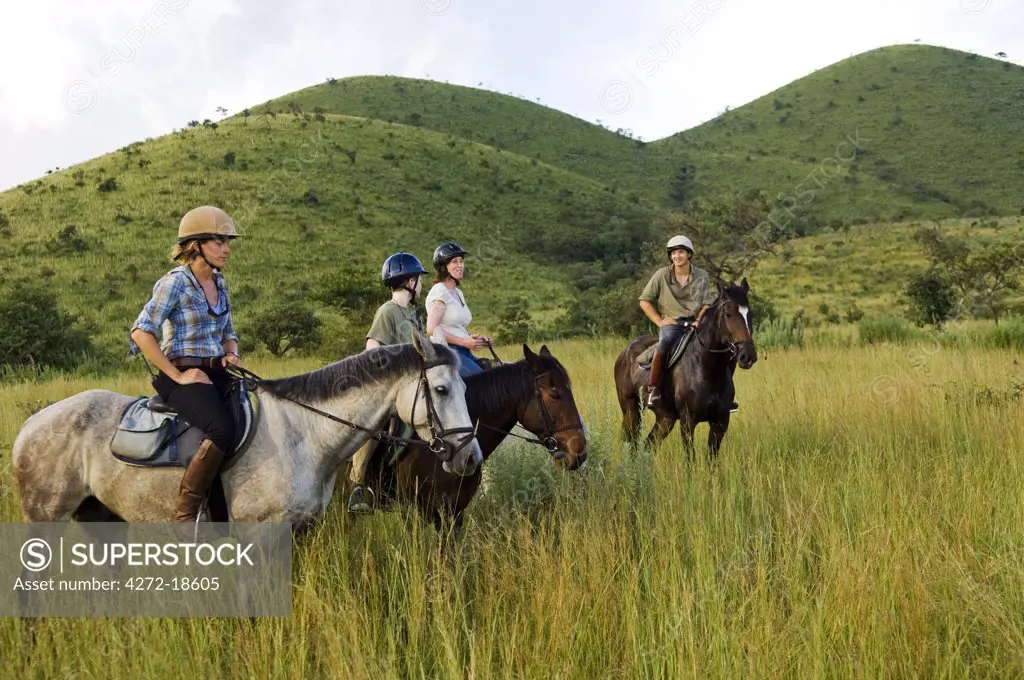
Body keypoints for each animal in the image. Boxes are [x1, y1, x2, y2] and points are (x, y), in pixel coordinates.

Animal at [11, 331, 483, 528]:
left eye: (466, 387)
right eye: (442, 389)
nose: (471, 457)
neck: (305, 434)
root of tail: (30, 425)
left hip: (98, 514)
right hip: (45, 518)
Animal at [610, 278, 757, 462]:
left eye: (750, 315)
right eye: (728, 314)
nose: (748, 356)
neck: (706, 370)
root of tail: (624, 353)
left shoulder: (720, 422)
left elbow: (712, 460)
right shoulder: (687, 421)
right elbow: (690, 459)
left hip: (665, 417)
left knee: (649, 444)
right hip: (631, 409)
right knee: (631, 441)